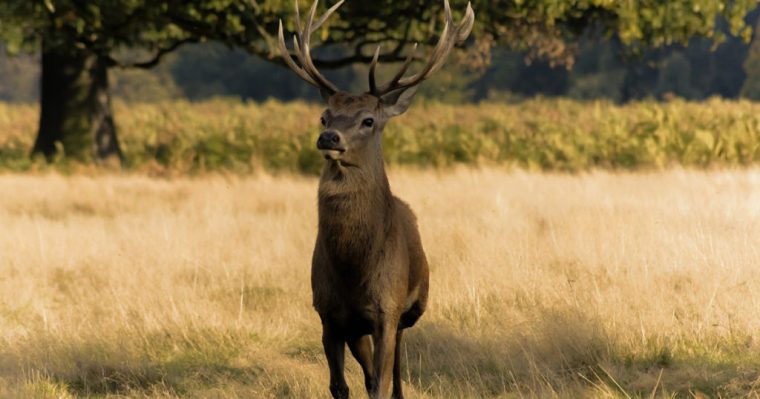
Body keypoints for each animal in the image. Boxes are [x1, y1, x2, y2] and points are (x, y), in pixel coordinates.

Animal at [274, 1, 476, 398]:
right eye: (324, 116)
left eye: (368, 120)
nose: (329, 138)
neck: (354, 270)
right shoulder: (328, 313)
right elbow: (340, 386)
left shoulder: (388, 308)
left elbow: (381, 384)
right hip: (357, 329)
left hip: (408, 312)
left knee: (394, 371)